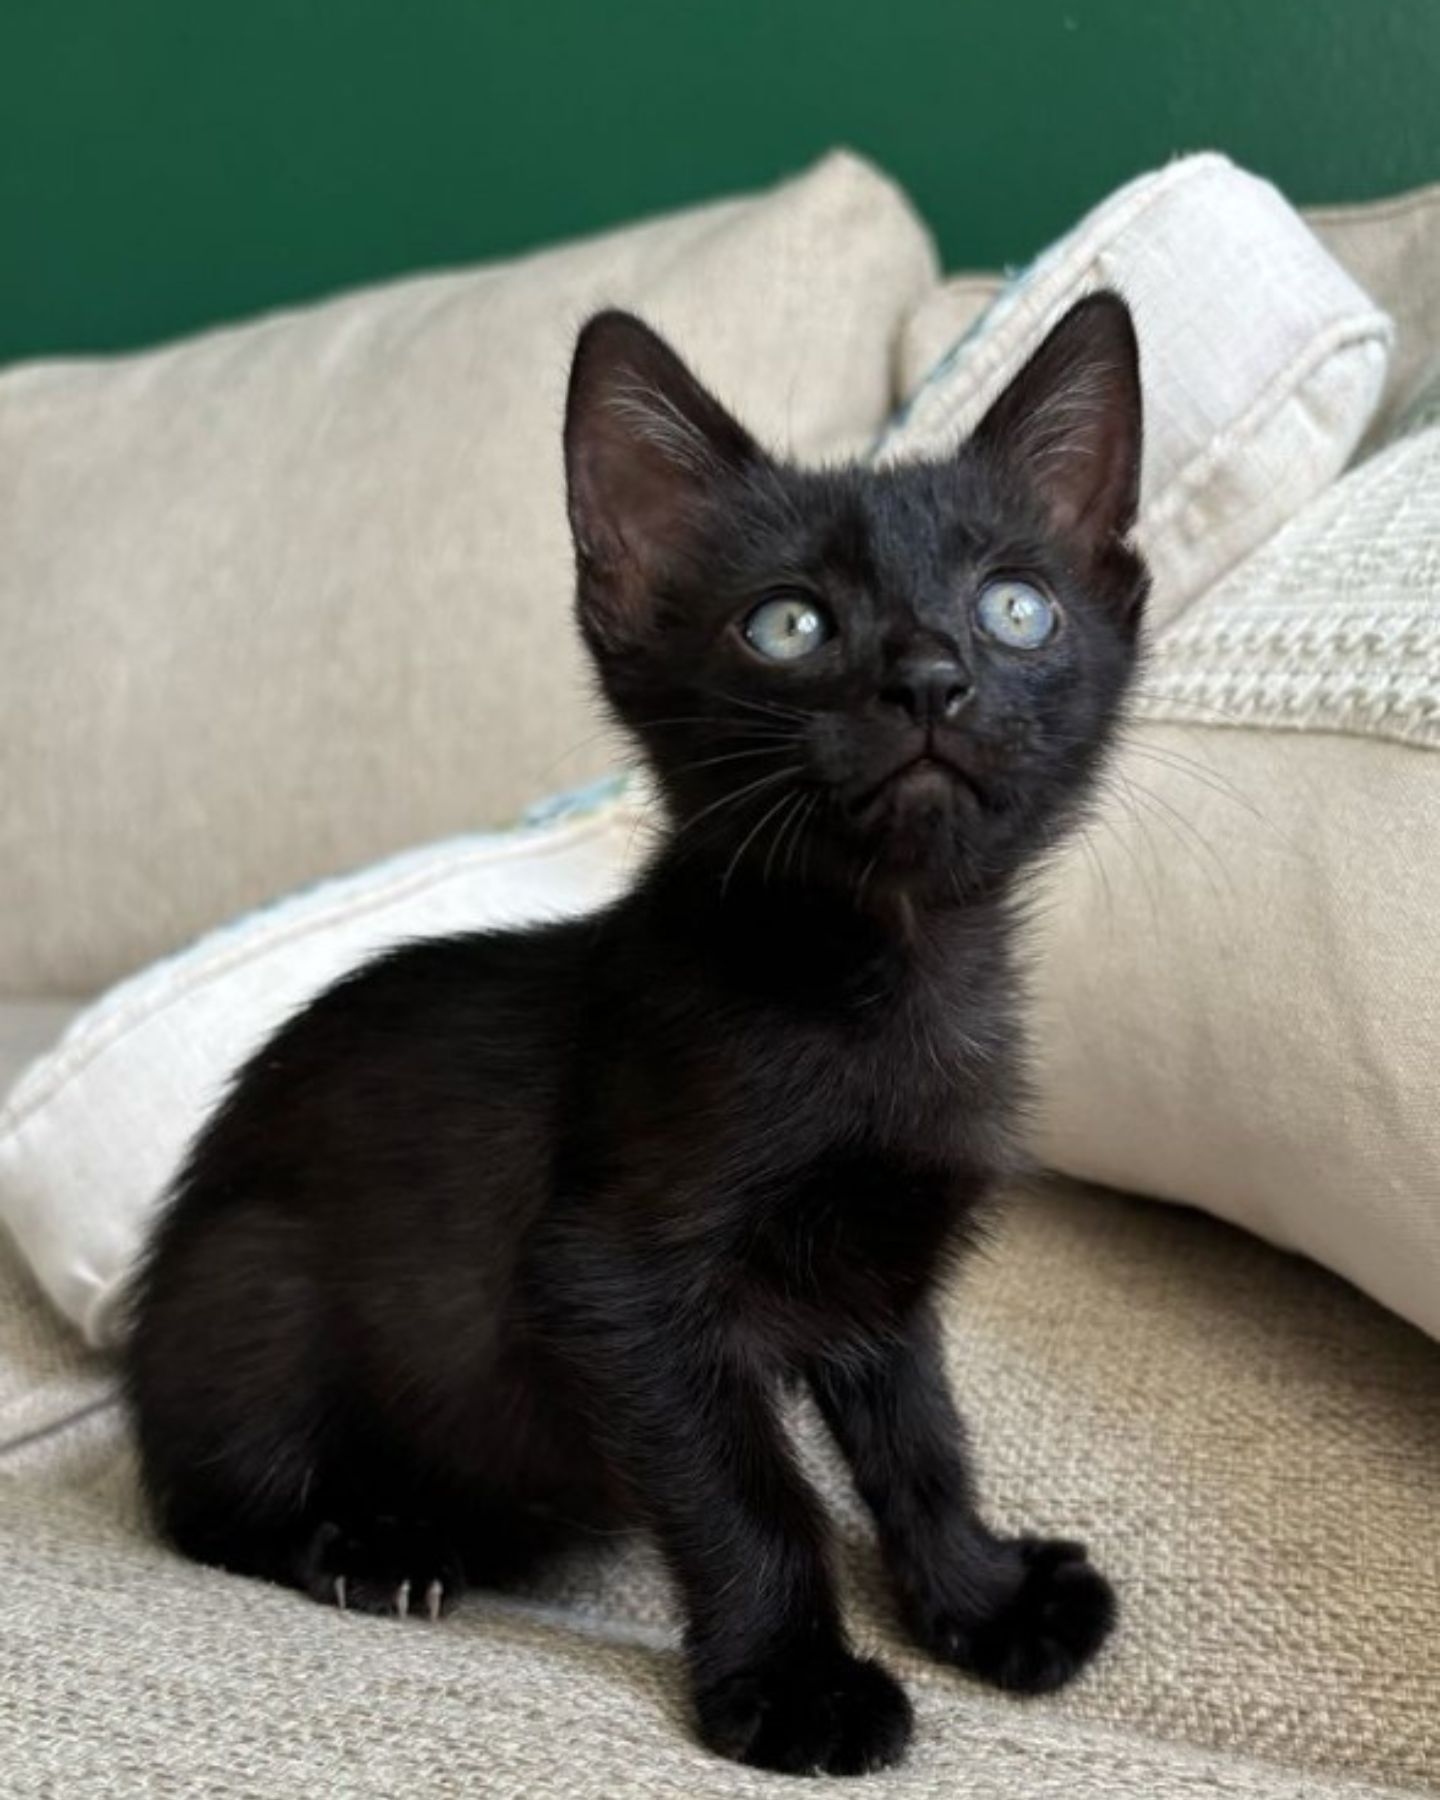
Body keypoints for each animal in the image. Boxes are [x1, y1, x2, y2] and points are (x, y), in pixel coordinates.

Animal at [129, 295, 1152, 1771]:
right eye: (785, 624)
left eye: (1018, 608)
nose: (931, 680)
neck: (879, 981)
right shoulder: (613, 1285)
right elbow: (751, 1496)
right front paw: (796, 1687)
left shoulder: (880, 1278)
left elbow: (923, 1441)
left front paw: (981, 1598)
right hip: (249, 1282)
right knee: (201, 1503)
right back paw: (373, 1543)